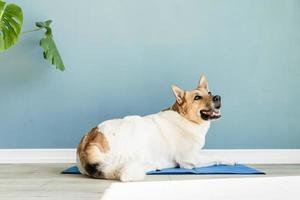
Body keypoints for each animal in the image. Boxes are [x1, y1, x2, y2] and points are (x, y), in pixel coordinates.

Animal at [75, 75, 234, 181]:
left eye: (209, 93)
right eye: (197, 98)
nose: (218, 97)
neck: (186, 119)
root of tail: (88, 143)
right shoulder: (190, 160)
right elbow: (214, 156)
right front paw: (231, 160)